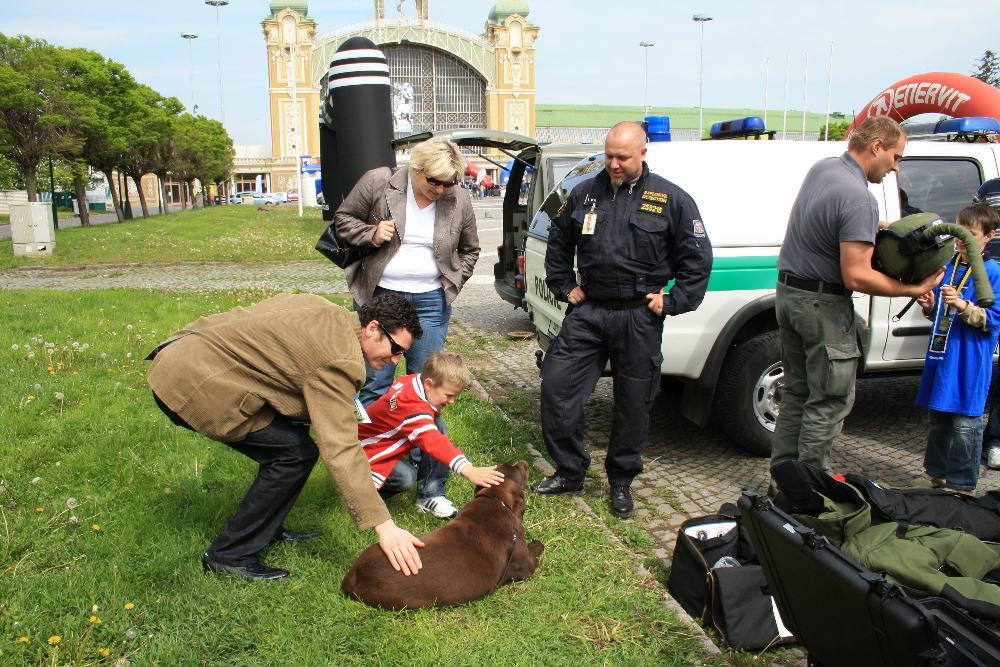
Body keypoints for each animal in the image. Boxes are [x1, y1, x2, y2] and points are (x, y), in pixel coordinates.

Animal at [344, 460, 548, 612]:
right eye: (520, 470)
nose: (524, 462)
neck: (495, 500)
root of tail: (352, 576)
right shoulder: (525, 565)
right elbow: (537, 546)